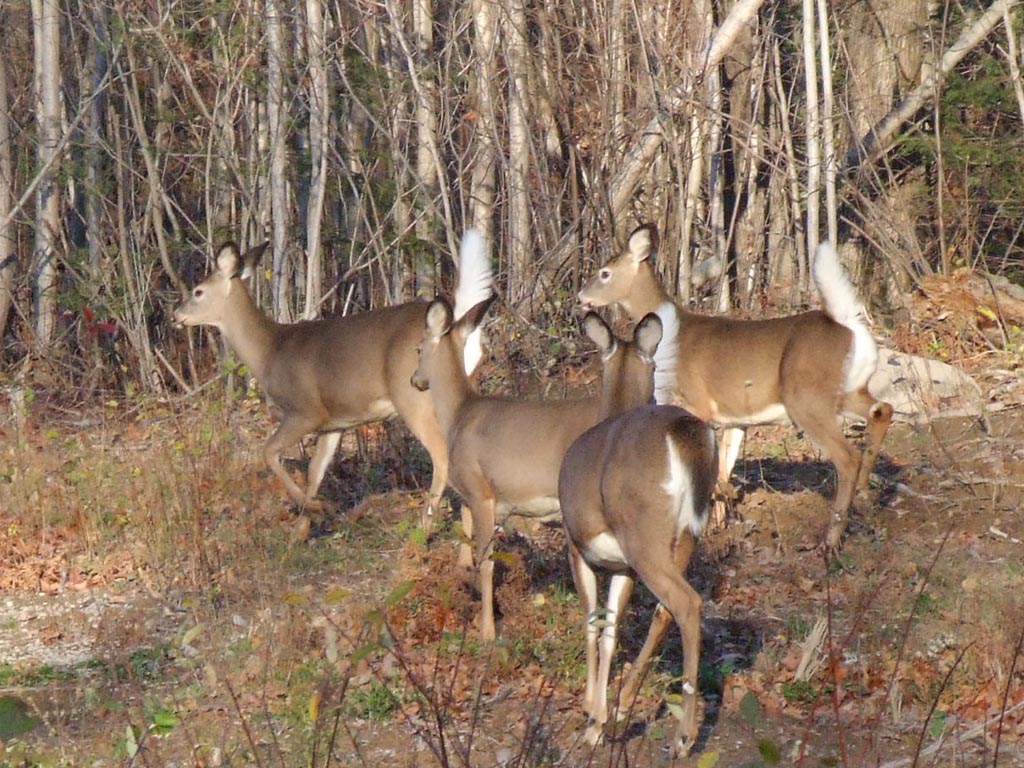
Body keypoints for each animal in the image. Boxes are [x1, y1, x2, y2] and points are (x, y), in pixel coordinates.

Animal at [172, 233, 491, 536]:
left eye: (198, 291)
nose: (176, 315)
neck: (270, 352)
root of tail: (456, 332)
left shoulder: (306, 410)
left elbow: (269, 451)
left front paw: (318, 508)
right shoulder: (335, 422)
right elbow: (315, 472)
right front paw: (301, 530)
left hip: (414, 397)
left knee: (442, 456)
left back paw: (424, 527)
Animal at [411, 296, 667, 638]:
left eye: (418, 348)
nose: (415, 380)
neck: (458, 415)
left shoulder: (481, 492)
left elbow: (487, 561)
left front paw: (487, 631)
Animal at [557, 299, 716, 757]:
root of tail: (683, 432)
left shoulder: (576, 545)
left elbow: (592, 625)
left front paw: (591, 717)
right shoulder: (622, 566)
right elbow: (611, 631)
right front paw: (601, 717)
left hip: (642, 530)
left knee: (687, 602)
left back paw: (683, 736)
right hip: (685, 533)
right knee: (666, 608)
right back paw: (626, 708)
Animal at [581, 225, 892, 548]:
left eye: (604, 273)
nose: (580, 297)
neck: (672, 331)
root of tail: (848, 326)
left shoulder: (698, 403)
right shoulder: (736, 418)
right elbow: (724, 468)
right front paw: (720, 527)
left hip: (806, 399)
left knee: (848, 457)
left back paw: (831, 539)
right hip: (847, 393)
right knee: (883, 410)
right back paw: (866, 497)